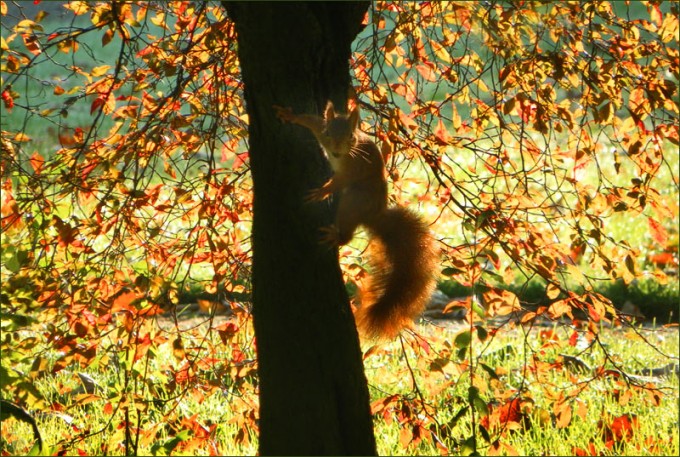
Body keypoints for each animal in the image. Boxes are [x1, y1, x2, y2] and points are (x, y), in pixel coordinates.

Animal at [274, 101, 437, 340]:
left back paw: (337, 237)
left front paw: (322, 192)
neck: (344, 154)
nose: (335, 151)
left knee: (347, 230)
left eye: (350, 136)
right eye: (328, 132)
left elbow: (339, 181)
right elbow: (311, 121)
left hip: (352, 202)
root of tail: (373, 214)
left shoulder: (353, 168)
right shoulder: (320, 130)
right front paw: (289, 115)